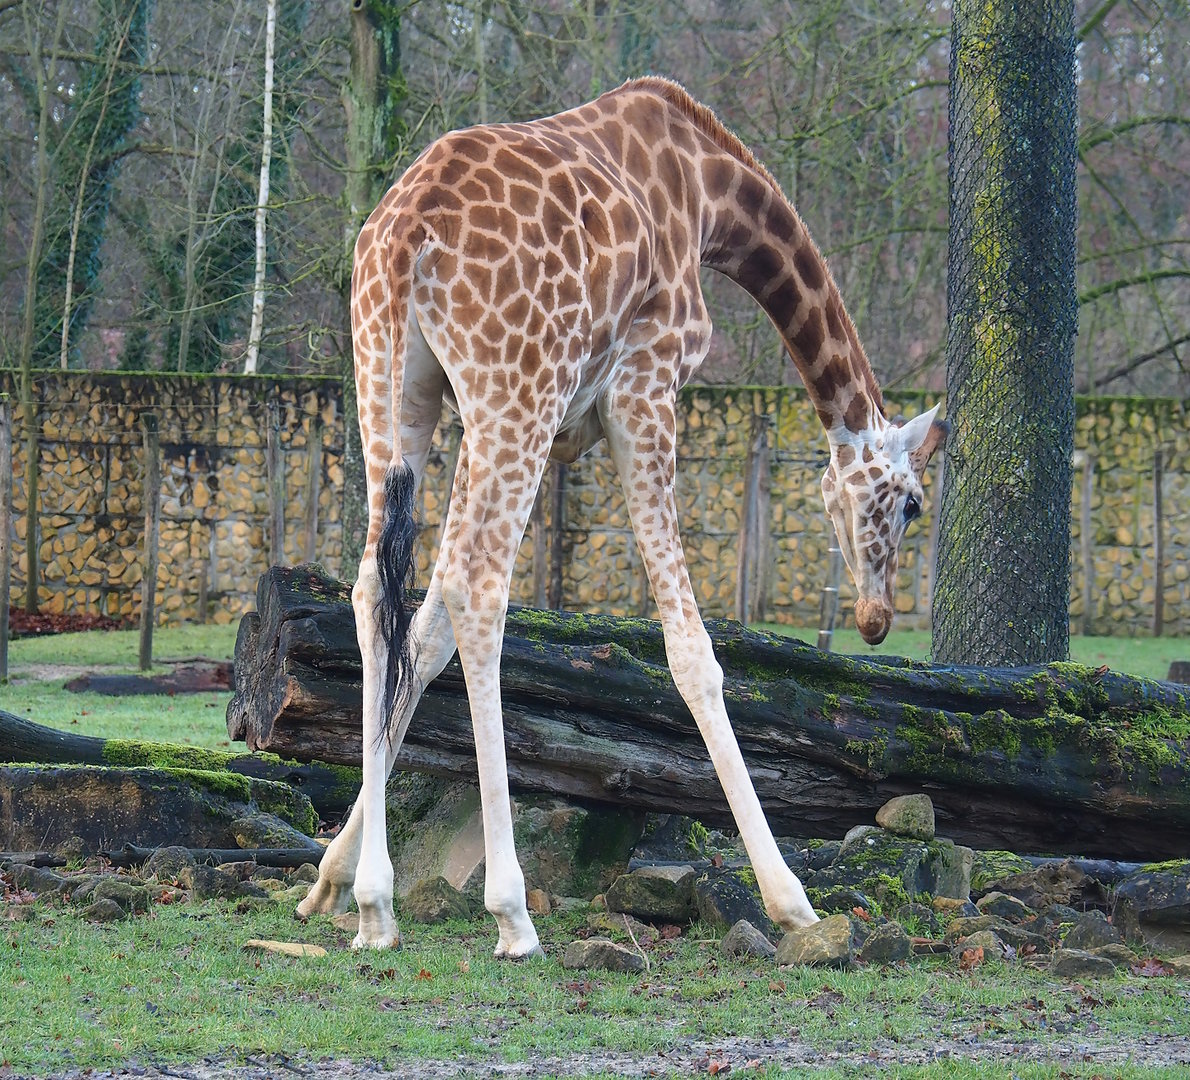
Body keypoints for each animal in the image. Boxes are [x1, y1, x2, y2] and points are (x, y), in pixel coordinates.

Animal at [296, 77, 948, 956]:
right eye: (911, 503)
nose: (876, 619)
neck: (712, 194)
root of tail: (408, 231)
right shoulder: (645, 386)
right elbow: (692, 653)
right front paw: (790, 899)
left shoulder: (516, 420)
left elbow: (425, 637)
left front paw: (332, 877)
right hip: (516, 392)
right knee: (482, 593)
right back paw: (512, 912)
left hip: (398, 385)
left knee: (376, 587)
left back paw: (375, 904)